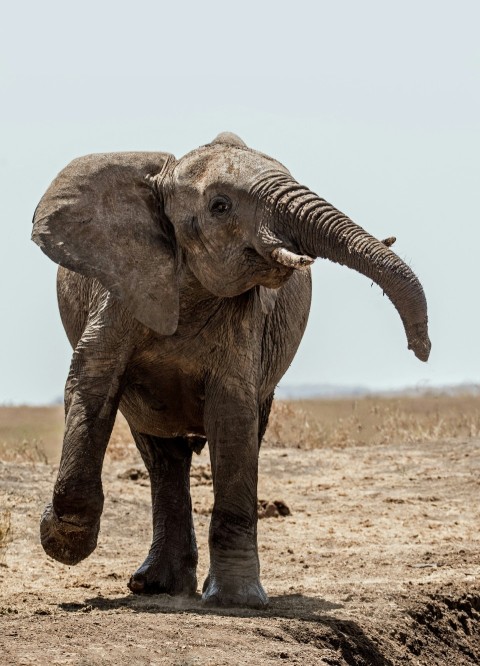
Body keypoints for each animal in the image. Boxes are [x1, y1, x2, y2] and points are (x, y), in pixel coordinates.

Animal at [32, 131, 430, 608]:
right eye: (220, 206)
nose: (421, 348)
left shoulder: (245, 318)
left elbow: (233, 413)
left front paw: (236, 601)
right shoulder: (121, 288)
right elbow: (92, 379)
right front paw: (63, 543)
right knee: (161, 454)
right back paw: (154, 586)